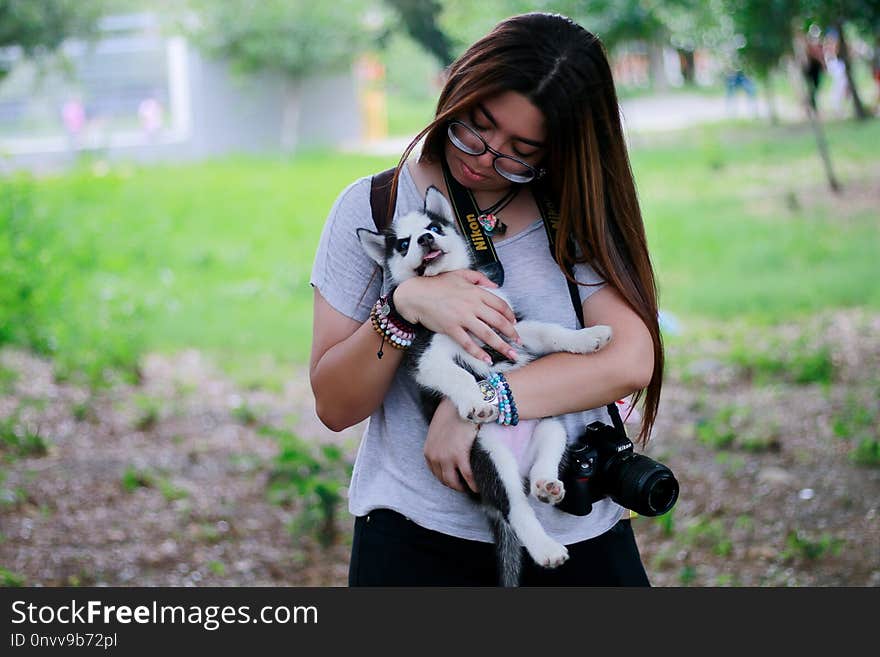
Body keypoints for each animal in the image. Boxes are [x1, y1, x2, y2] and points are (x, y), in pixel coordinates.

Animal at [358, 184, 612, 584]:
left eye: (433, 227)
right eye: (403, 244)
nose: (425, 239)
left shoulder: (511, 328)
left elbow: (549, 331)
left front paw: (588, 338)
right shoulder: (428, 357)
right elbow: (460, 374)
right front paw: (476, 402)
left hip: (550, 427)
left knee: (542, 467)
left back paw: (546, 485)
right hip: (489, 457)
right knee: (517, 509)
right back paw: (547, 549)